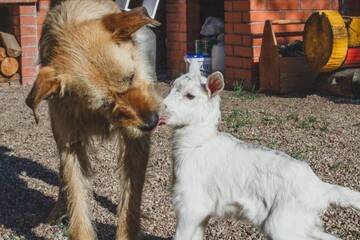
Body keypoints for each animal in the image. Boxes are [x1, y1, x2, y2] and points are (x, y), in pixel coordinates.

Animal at [25, 0, 160, 239]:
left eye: (131, 77)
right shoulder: (70, 145)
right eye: (105, 103)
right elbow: (77, 201)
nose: (153, 121)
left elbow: (131, 201)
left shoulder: (136, 143)